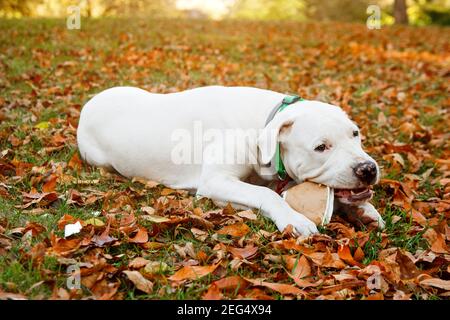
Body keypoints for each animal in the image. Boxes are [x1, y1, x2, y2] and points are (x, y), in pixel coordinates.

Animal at [76, 86, 384, 236]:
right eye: (321, 147)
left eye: (355, 133)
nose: (368, 169)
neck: (264, 121)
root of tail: (90, 102)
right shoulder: (216, 182)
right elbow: (266, 195)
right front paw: (293, 218)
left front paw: (364, 210)